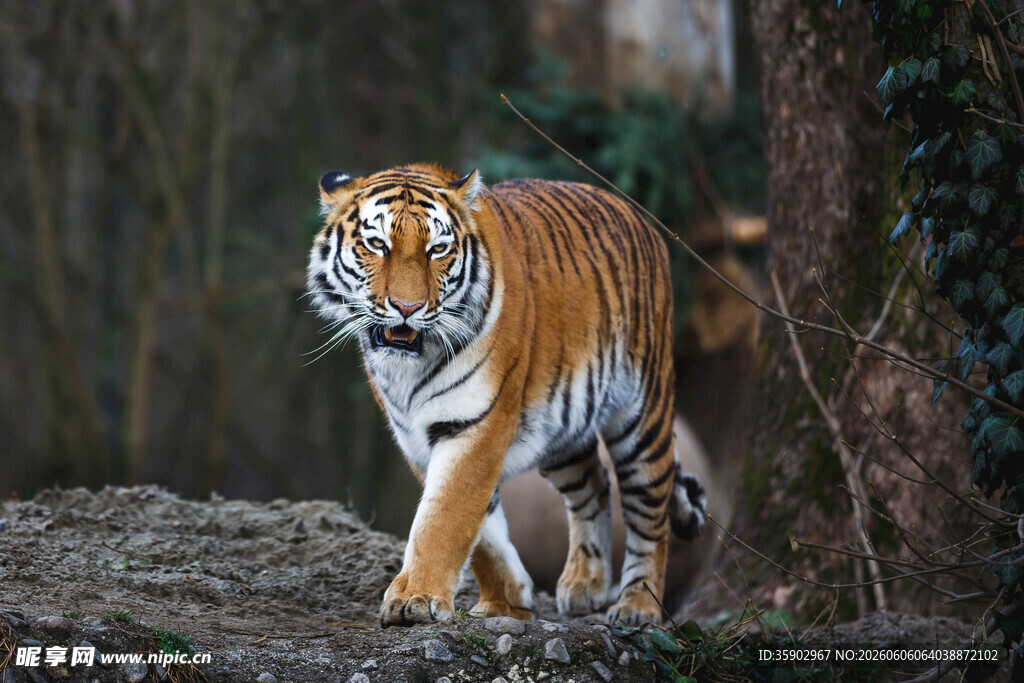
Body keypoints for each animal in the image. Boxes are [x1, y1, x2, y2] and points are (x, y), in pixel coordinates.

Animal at [306, 163, 707, 627]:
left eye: (437, 250)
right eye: (377, 244)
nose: (407, 308)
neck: (408, 367)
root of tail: (636, 214)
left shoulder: (477, 423)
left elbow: (445, 517)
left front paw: (415, 600)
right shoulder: (417, 438)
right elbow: (482, 531)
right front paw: (506, 601)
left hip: (642, 416)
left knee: (650, 513)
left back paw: (638, 606)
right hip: (564, 432)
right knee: (596, 485)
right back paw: (585, 586)